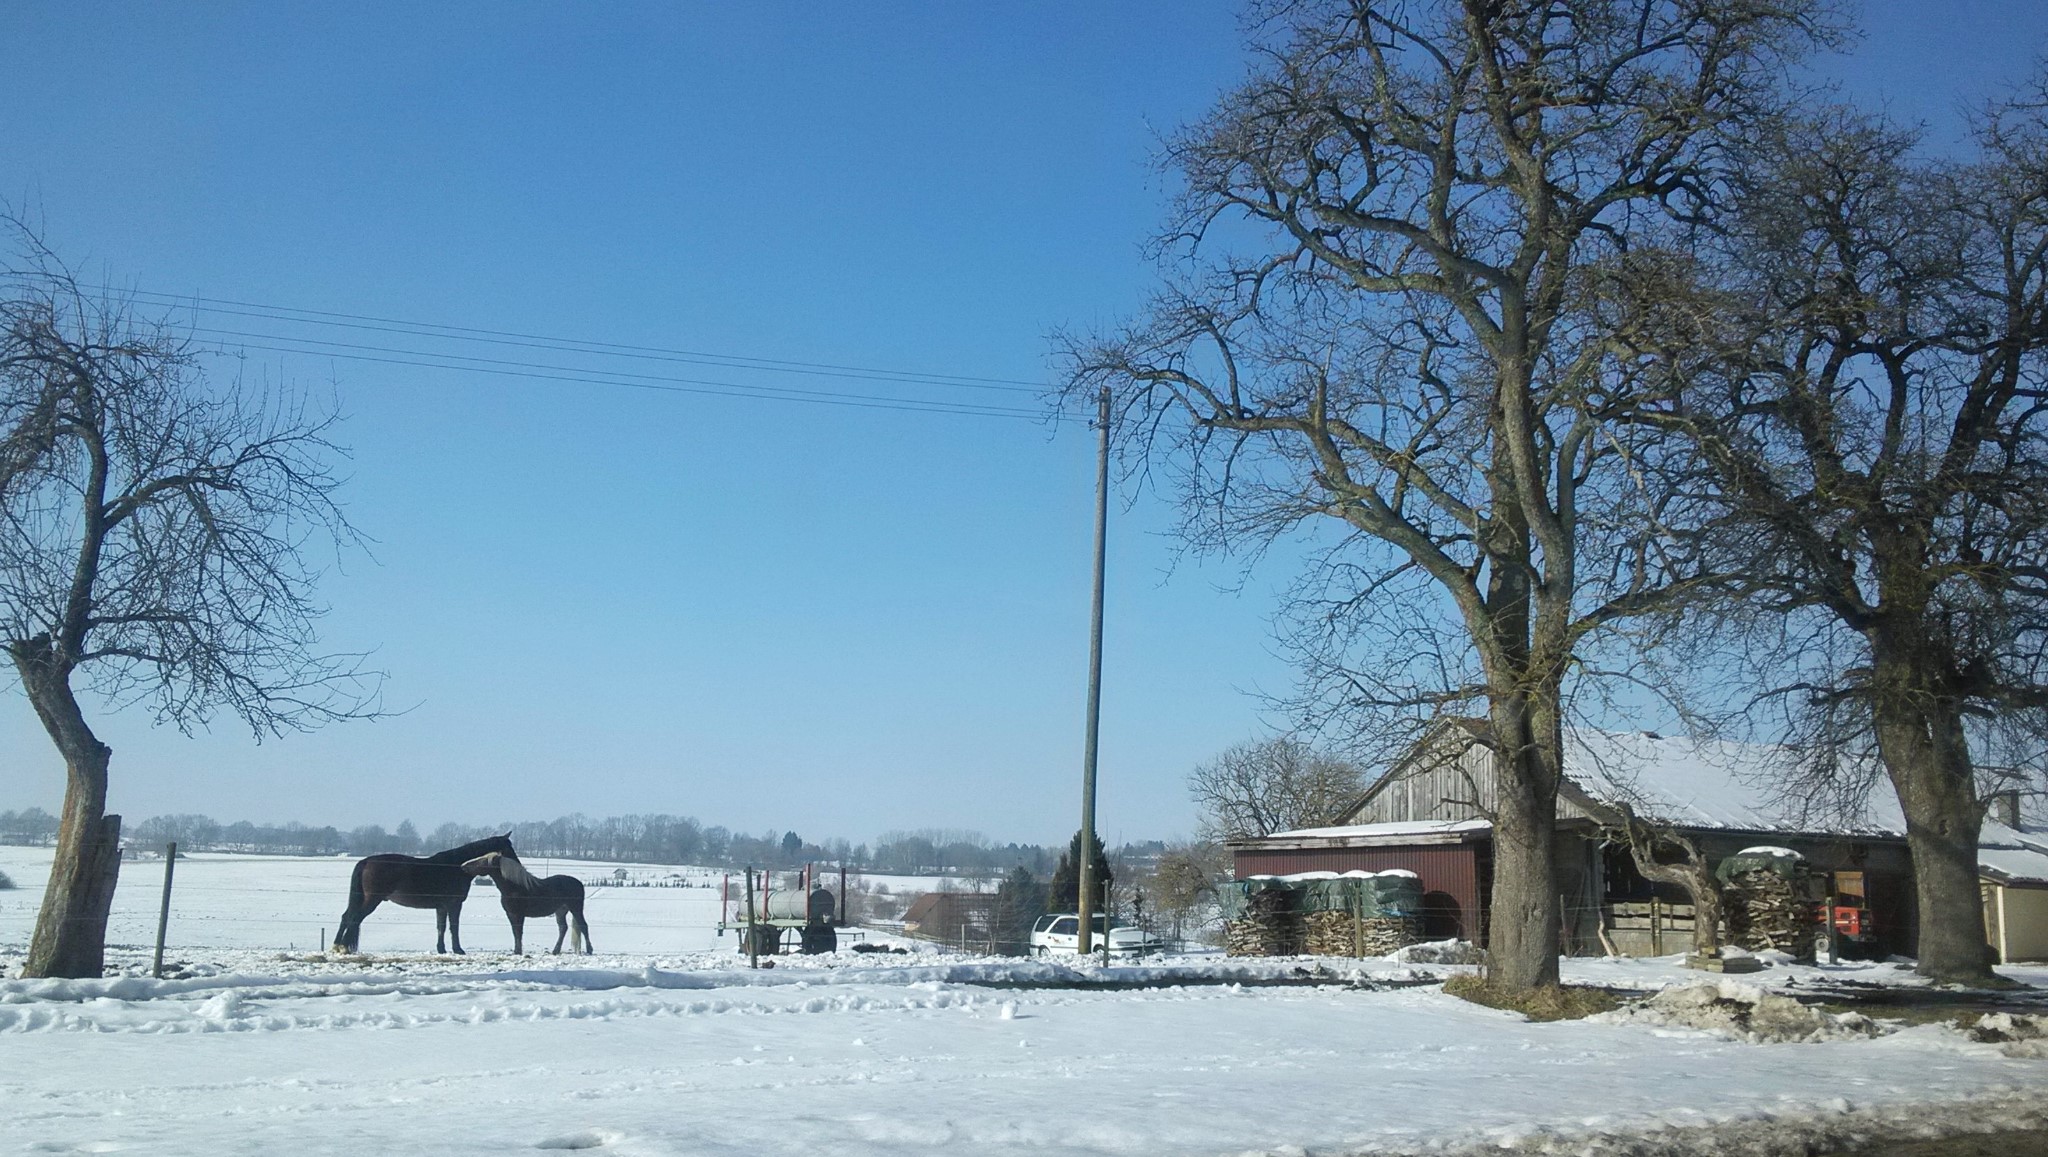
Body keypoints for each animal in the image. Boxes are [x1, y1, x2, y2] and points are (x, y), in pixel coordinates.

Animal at [331, 835, 512, 950]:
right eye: (508, 848)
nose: (516, 861)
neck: (457, 866)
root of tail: (366, 861)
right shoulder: (454, 905)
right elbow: (454, 927)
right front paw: (458, 949)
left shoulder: (441, 907)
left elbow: (441, 927)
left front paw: (441, 949)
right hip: (372, 900)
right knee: (354, 918)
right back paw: (345, 946)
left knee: (346, 917)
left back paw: (337, 946)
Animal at [462, 851, 593, 950]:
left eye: (482, 860)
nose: (463, 866)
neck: (515, 887)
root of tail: (579, 883)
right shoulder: (511, 914)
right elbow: (515, 932)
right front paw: (516, 951)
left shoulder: (519, 914)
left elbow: (519, 932)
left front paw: (518, 951)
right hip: (561, 910)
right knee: (563, 928)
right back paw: (555, 951)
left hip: (576, 908)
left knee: (583, 926)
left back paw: (589, 950)